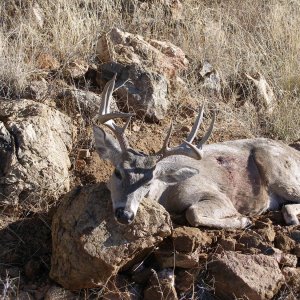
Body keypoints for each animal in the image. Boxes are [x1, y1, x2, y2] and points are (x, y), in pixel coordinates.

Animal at [92, 74, 298, 227]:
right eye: (117, 172)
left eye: (148, 183)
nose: (125, 214)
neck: (166, 191)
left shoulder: (217, 195)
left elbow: (192, 213)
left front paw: (243, 220)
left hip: (278, 170)